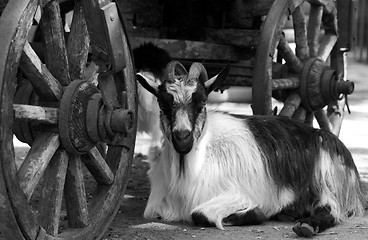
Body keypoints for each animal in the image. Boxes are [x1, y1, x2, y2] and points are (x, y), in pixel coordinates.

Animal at [136, 61, 368, 237]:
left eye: (201, 102)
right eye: (163, 104)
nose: (182, 137)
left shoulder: (237, 192)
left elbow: (200, 214)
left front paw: (255, 214)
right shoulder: (156, 206)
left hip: (327, 176)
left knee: (331, 210)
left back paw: (306, 225)